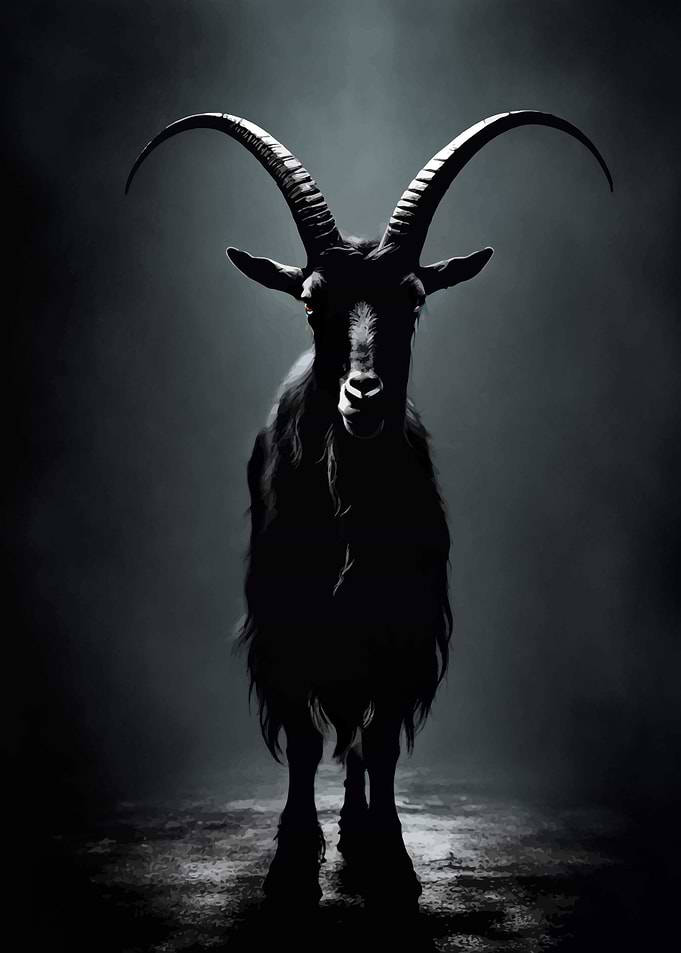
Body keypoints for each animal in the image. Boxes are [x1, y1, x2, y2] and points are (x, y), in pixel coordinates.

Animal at [126, 111, 612, 910]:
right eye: (310, 300)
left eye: (412, 298)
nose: (364, 394)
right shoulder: (284, 625)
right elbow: (302, 737)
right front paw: (291, 863)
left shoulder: (403, 625)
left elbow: (377, 739)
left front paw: (391, 859)